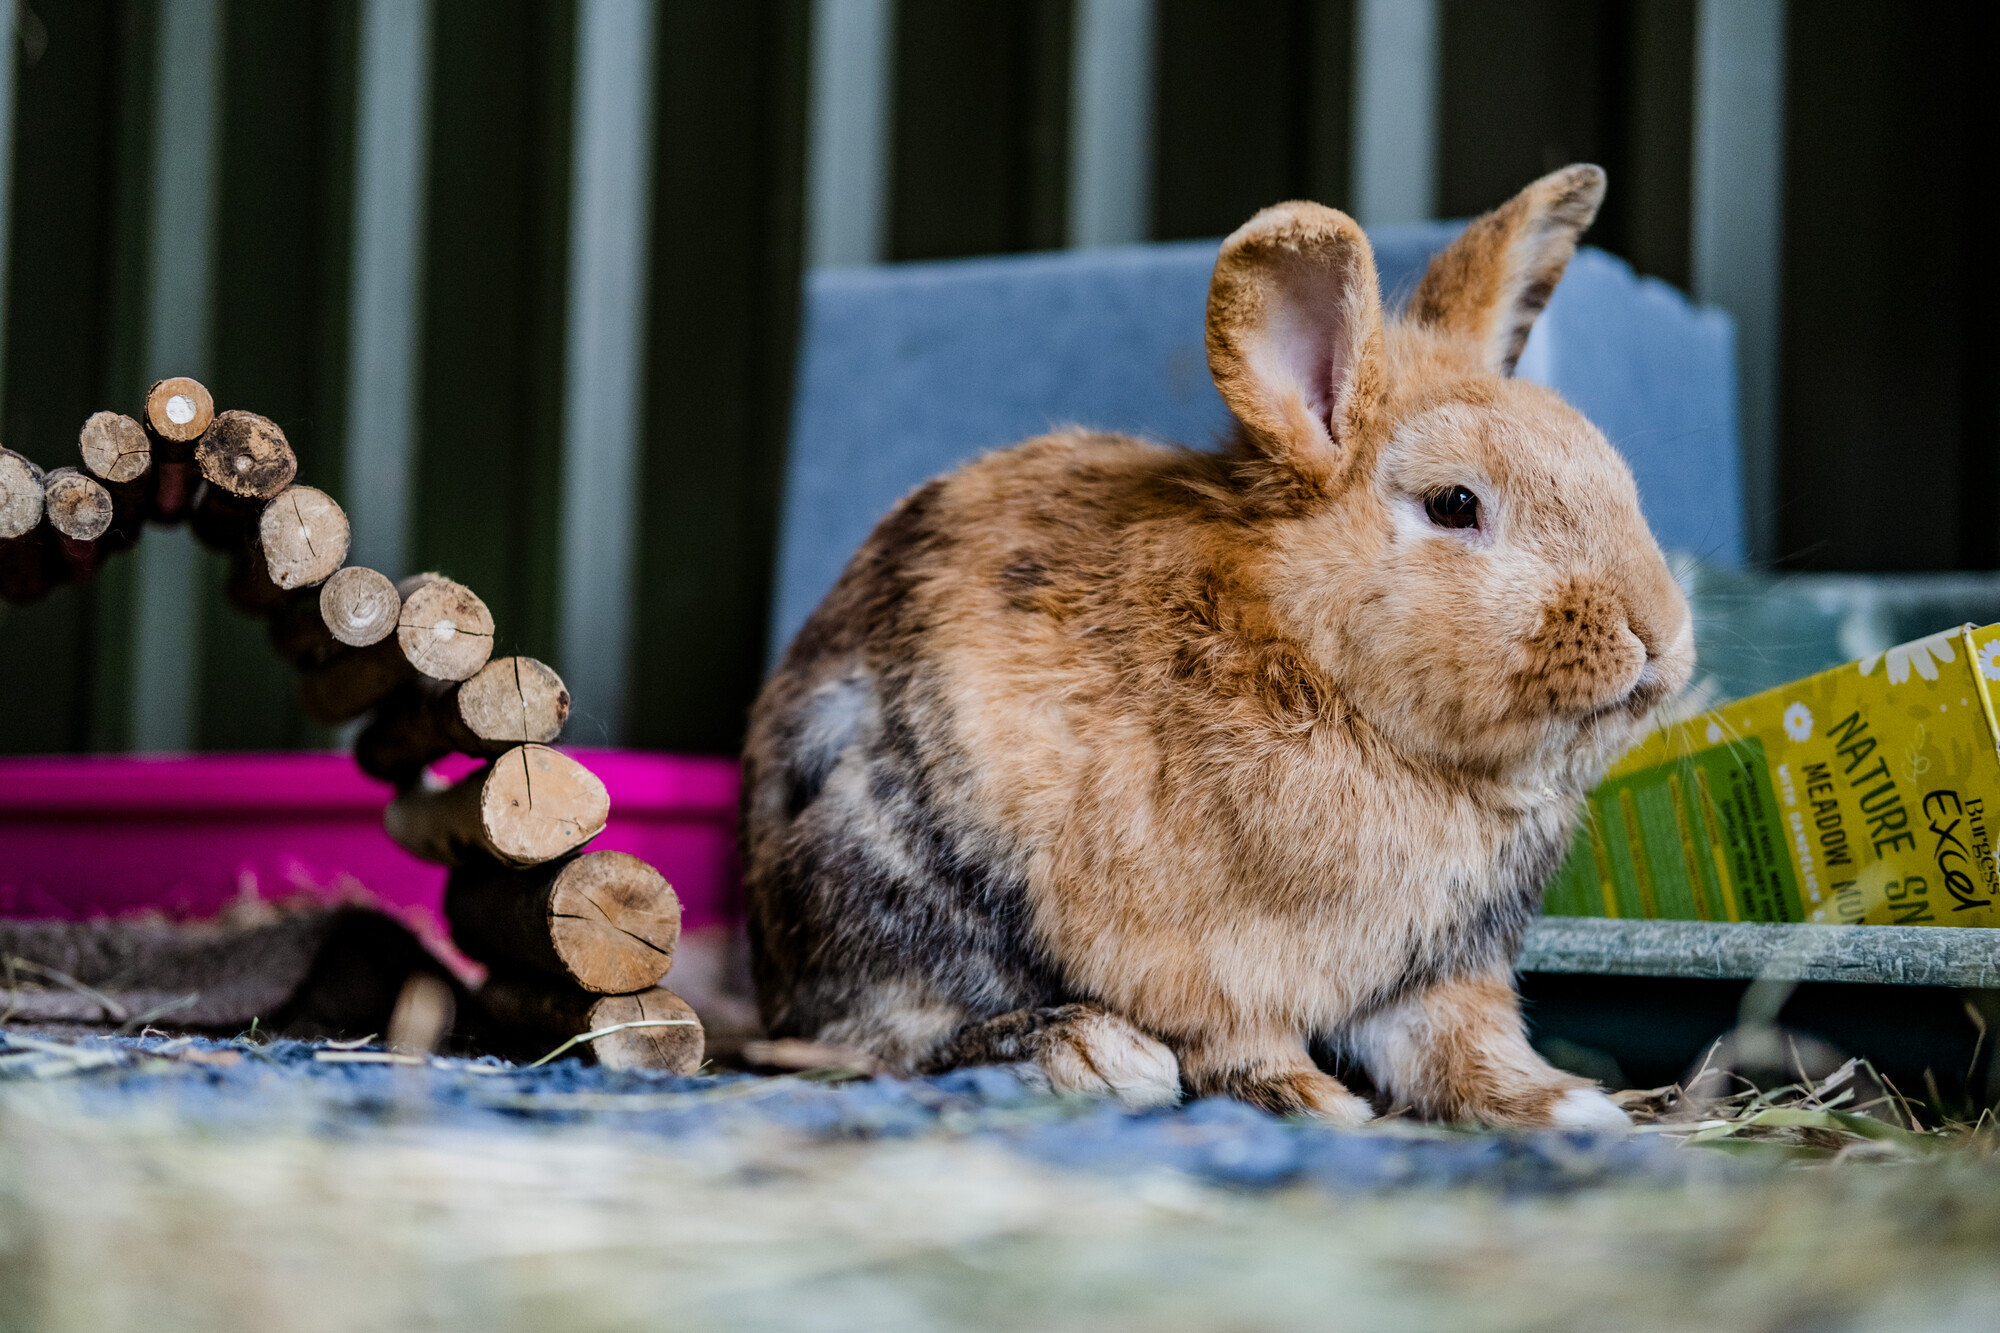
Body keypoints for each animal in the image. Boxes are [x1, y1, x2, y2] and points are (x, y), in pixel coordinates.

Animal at [744, 163, 1696, 1120]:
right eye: (1454, 504)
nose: (1658, 633)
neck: (1313, 661)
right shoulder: (1206, 965)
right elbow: (1241, 1041)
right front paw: (1317, 1104)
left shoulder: (1438, 973)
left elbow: (1466, 1045)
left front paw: (1566, 1105)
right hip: (886, 884)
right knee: (875, 1045)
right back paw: (1092, 1054)